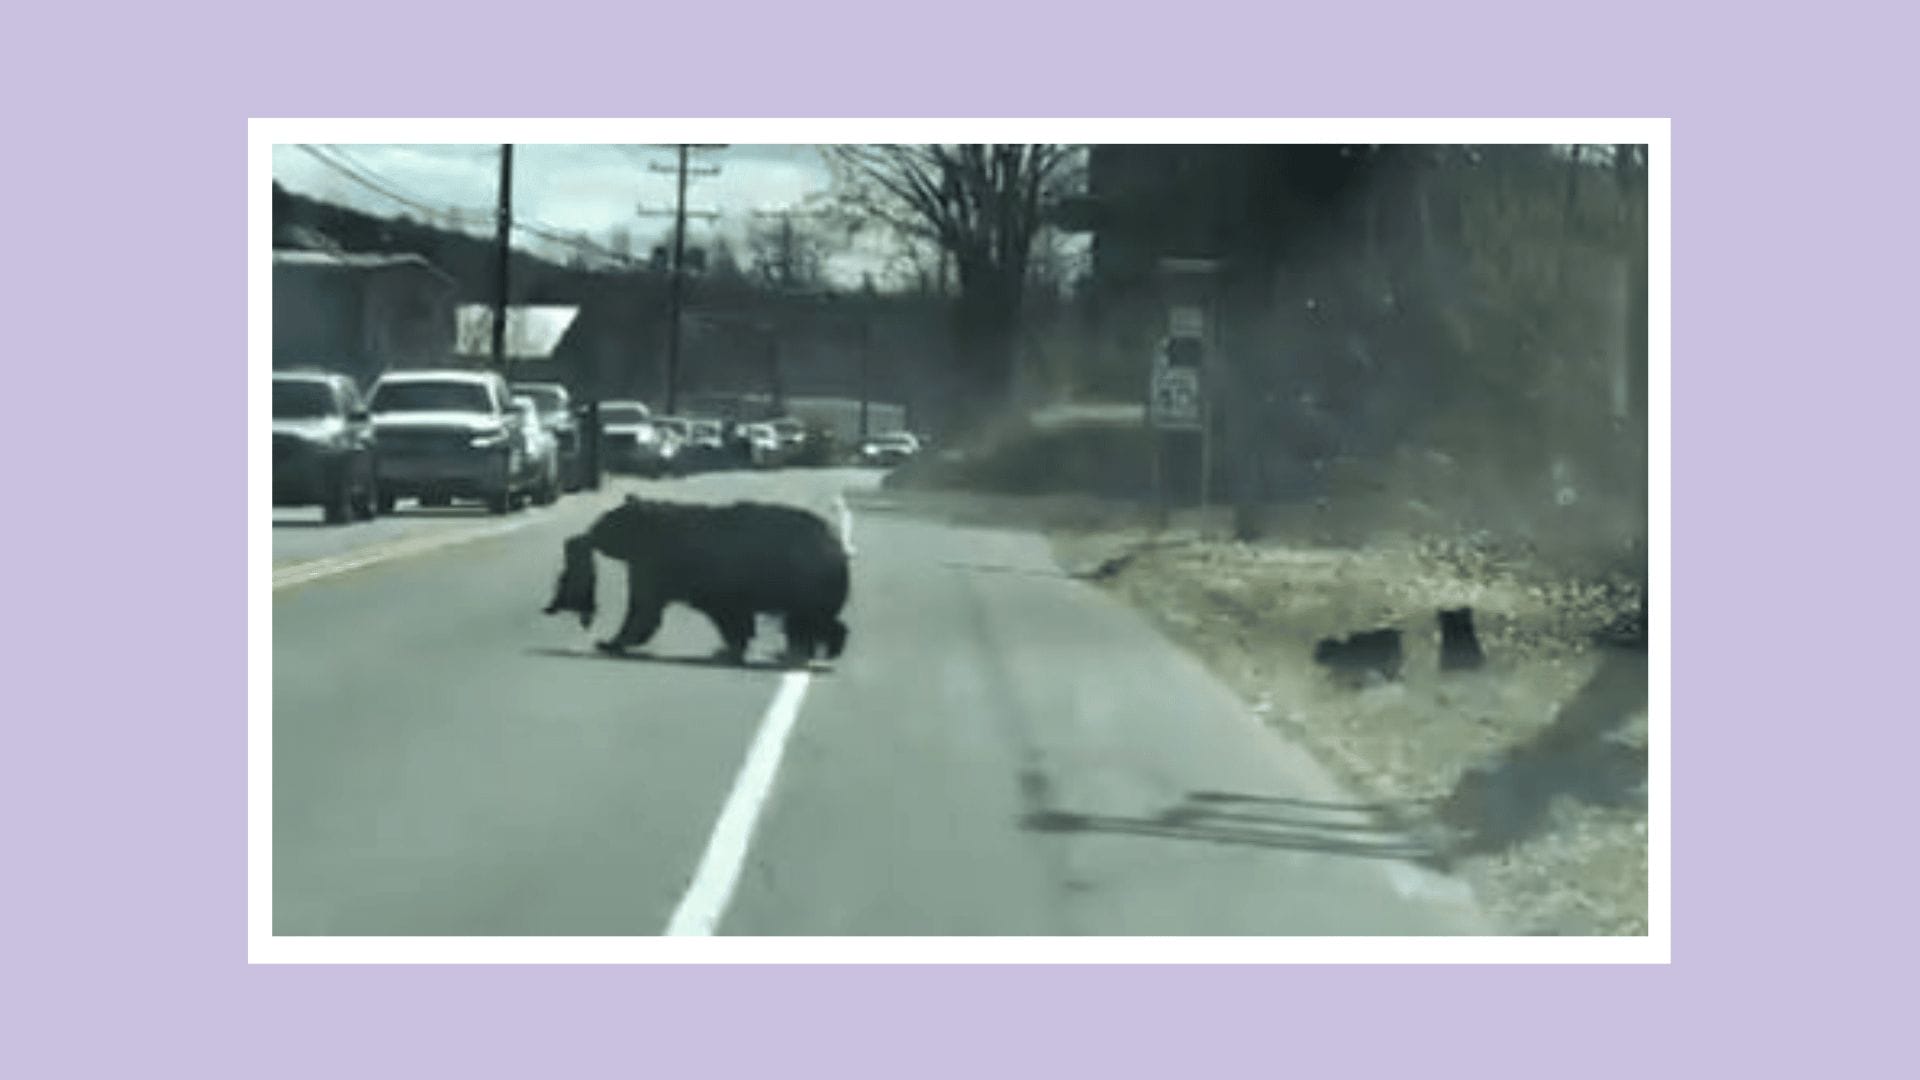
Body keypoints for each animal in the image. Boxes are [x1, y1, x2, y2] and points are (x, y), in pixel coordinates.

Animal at [543, 495, 849, 666]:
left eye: (604, 520)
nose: (586, 534)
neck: (648, 536)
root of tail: (837, 546)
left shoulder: (661, 566)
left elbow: (644, 609)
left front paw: (609, 642)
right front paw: (730, 648)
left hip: (804, 582)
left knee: (810, 619)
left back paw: (820, 649)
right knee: (805, 622)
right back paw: (809, 650)